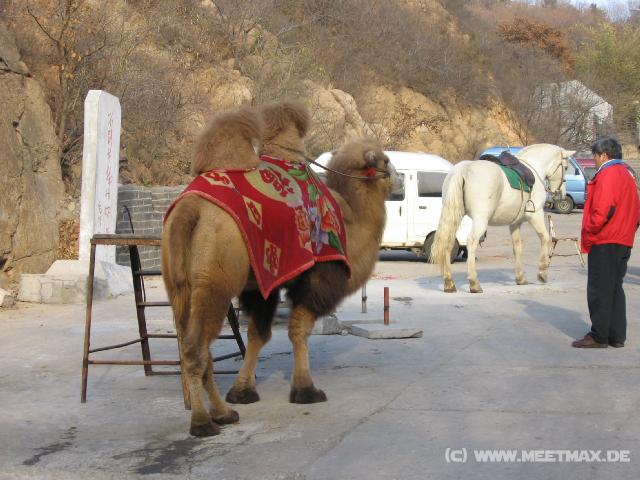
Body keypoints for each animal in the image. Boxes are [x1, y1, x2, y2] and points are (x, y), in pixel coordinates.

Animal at [431, 143, 575, 293]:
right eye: (565, 168)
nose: (561, 193)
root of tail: (464, 169)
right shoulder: (536, 215)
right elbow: (545, 238)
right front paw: (542, 272)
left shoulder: (515, 223)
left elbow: (517, 248)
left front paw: (520, 278)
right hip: (480, 219)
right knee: (471, 242)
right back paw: (474, 283)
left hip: (454, 215)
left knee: (448, 242)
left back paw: (449, 283)